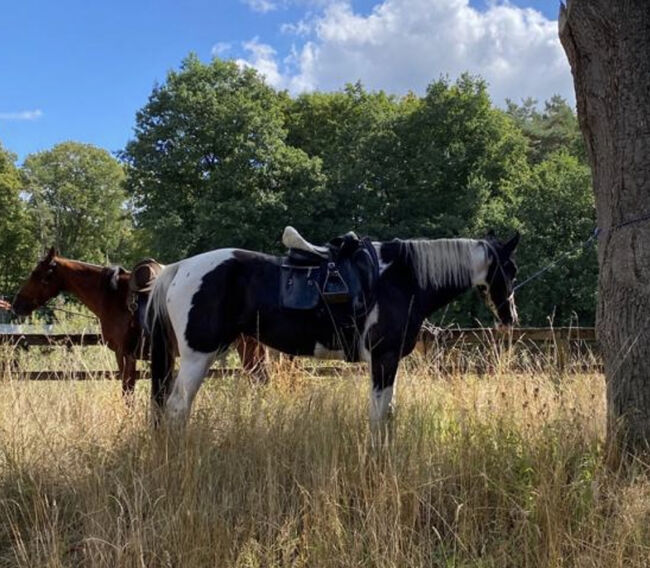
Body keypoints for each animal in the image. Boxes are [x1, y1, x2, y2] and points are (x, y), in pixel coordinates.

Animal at [12, 248, 266, 394]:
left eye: (37, 274)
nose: (17, 304)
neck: (111, 295)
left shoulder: (124, 354)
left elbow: (127, 391)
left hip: (247, 346)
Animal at [146, 230, 516, 422]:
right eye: (509, 268)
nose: (510, 318)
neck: (400, 279)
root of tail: (179, 268)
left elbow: (388, 411)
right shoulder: (384, 358)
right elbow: (380, 413)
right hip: (197, 356)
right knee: (177, 408)